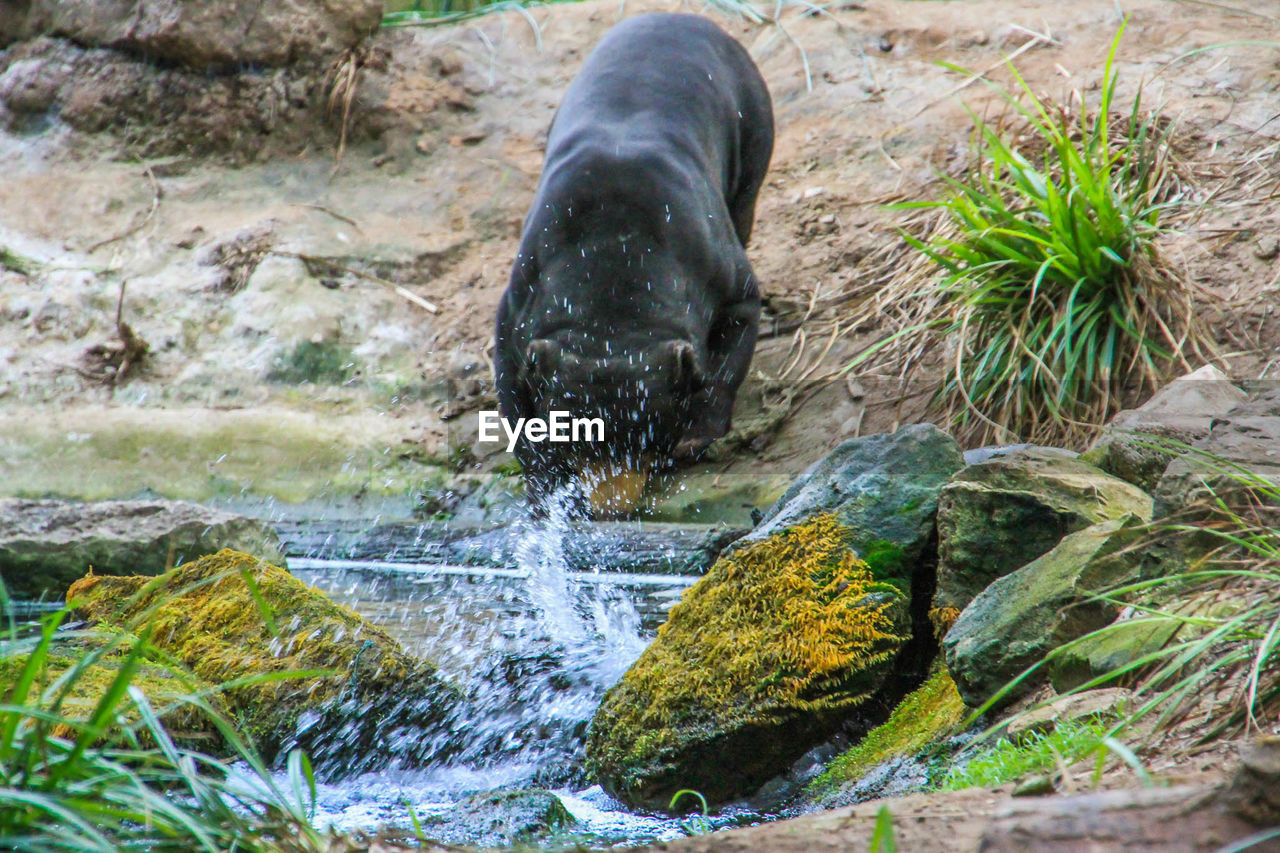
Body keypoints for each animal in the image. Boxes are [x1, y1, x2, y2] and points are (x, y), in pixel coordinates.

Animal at [488, 13, 768, 514]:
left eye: (649, 443)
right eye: (572, 440)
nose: (609, 509)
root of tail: (679, 16)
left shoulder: (719, 271)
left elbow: (737, 330)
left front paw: (694, 439)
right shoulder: (523, 291)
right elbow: (510, 377)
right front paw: (544, 480)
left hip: (755, 122)